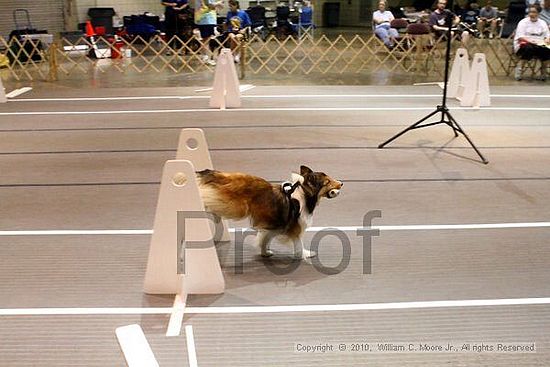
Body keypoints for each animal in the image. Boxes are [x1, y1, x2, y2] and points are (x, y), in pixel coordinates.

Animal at [198, 165, 344, 260]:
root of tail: (225, 177)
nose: (341, 183)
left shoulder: (273, 226)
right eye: (327, 182)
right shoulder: (295, 228)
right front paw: (304, 255)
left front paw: (265, 253)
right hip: (234, 206)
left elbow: (264, 239)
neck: (305, 194)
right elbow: (299, 244)